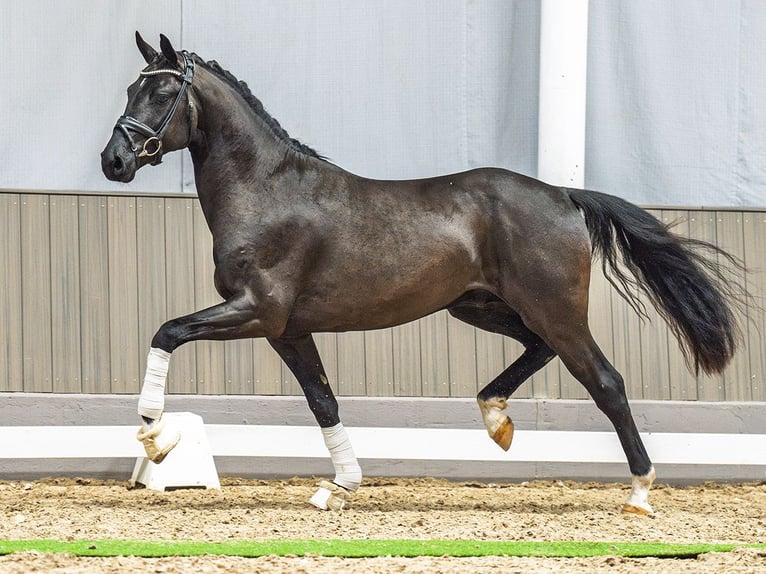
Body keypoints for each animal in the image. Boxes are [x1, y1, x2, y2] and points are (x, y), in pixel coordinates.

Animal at [102, 33, 744, 516]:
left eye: (163, 89)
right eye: (132, 87)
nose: (115, 161)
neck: (266, 191)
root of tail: (564, 195)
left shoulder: (257, 310)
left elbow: (166, 332)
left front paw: (156, 436)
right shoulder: (288, 328)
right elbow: (323, 402)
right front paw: (339, 486)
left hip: (554, 311)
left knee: (606, 382)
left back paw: (640, 492)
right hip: (482, 306)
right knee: (539, 351)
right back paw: (496, 419)